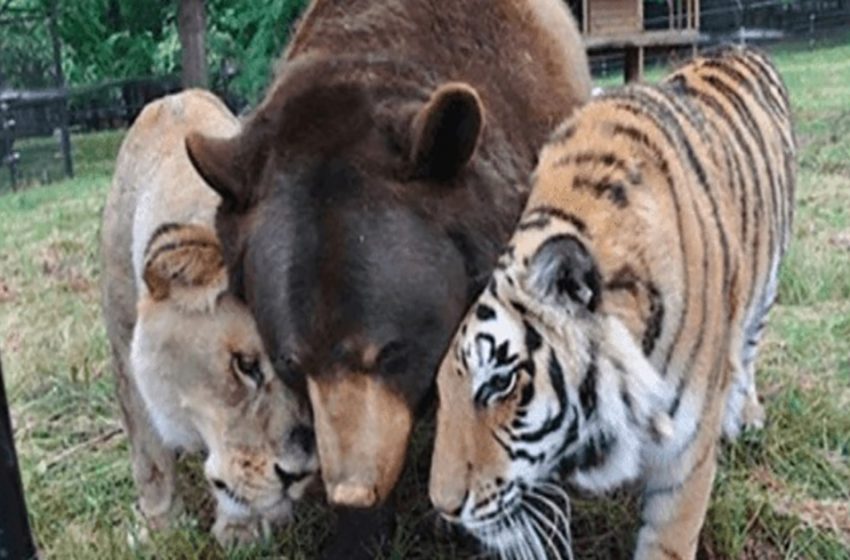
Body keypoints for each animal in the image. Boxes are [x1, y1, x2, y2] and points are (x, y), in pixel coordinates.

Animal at [428, 44, 792, 560]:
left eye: (500, 383)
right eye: (441, 390)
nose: (444, 507)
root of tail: (739, 46)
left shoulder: (685, 460)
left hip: (767, 285)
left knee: (749, 348)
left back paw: (747, 414)